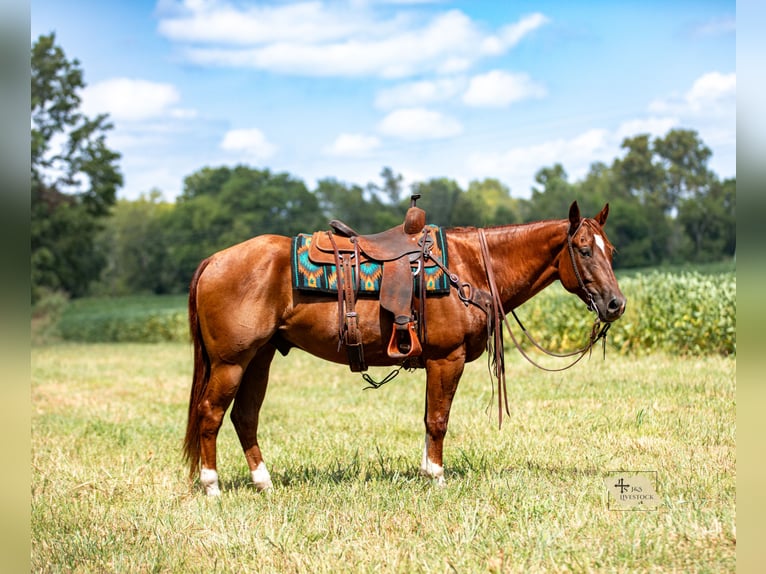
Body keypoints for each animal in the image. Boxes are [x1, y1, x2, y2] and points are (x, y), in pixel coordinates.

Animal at [183, 201, 626, 495]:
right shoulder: (447, 358)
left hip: (260, 357)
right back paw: (212, 486)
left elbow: (429, 419)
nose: (615, 304)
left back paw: (264, 482)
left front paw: (428, 469)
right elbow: (438, 420)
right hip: (230, 362)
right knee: (211, 414)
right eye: (584, 249)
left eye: (611, 251)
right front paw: (437, 477)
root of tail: (213, 260)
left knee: (244, 417)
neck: (469, 266)